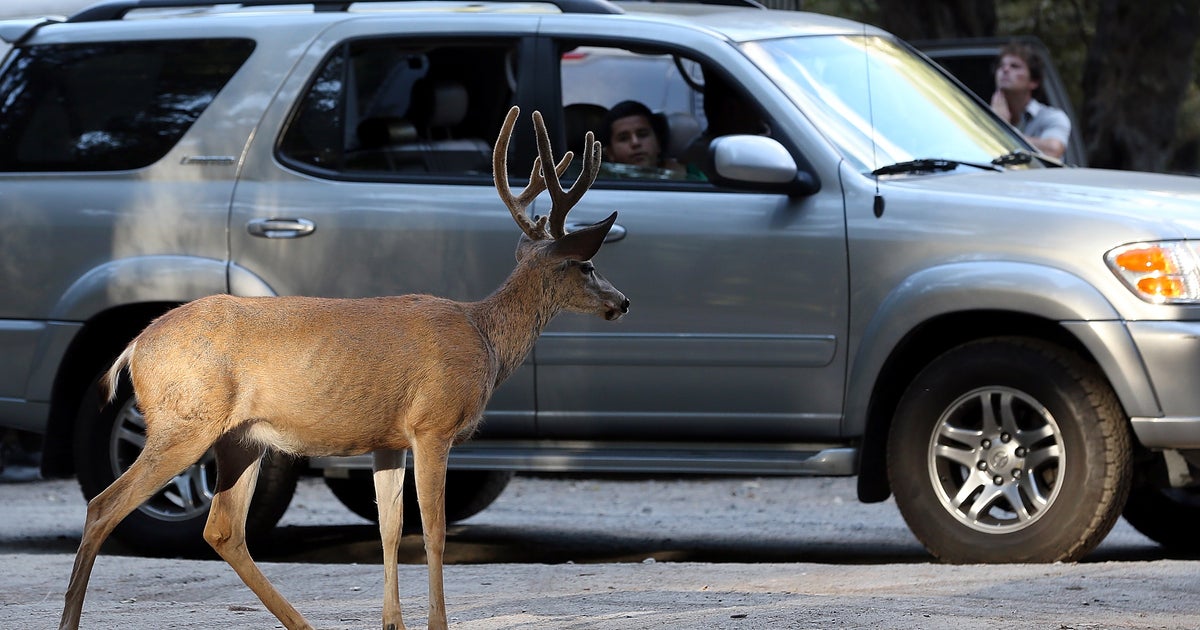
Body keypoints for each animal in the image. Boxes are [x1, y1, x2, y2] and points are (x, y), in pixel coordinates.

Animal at [58, 105, 628, 630]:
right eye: (587, 265)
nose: (621, 302)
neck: (485, 338)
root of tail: (134, 346)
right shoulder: (433, 423)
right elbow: (435, 531)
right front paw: (435, 624)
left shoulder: (388, 439)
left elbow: (390, 528)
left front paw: (392, 623)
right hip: (184, 421)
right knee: (103, 506)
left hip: (240, 437)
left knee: (222, 529)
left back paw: (303, 624)